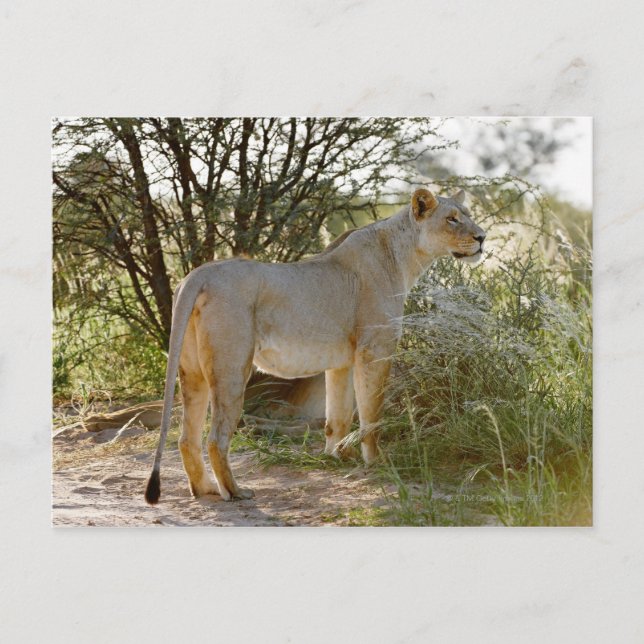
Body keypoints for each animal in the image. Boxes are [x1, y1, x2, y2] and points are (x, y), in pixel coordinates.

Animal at [145, 188, 486, 504]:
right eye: (452, 219)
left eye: (468, 214)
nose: (482, 237)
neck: (404, 255)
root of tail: (198, 275)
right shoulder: (375, 349)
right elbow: (371, 414)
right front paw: (376, 462)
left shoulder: (342, 360)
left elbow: (338, 416)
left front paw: (336, 457)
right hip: (232, 367)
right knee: (216, 437)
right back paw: (235, 492)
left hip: (192, 371)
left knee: (187, 438)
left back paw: (205, 489)